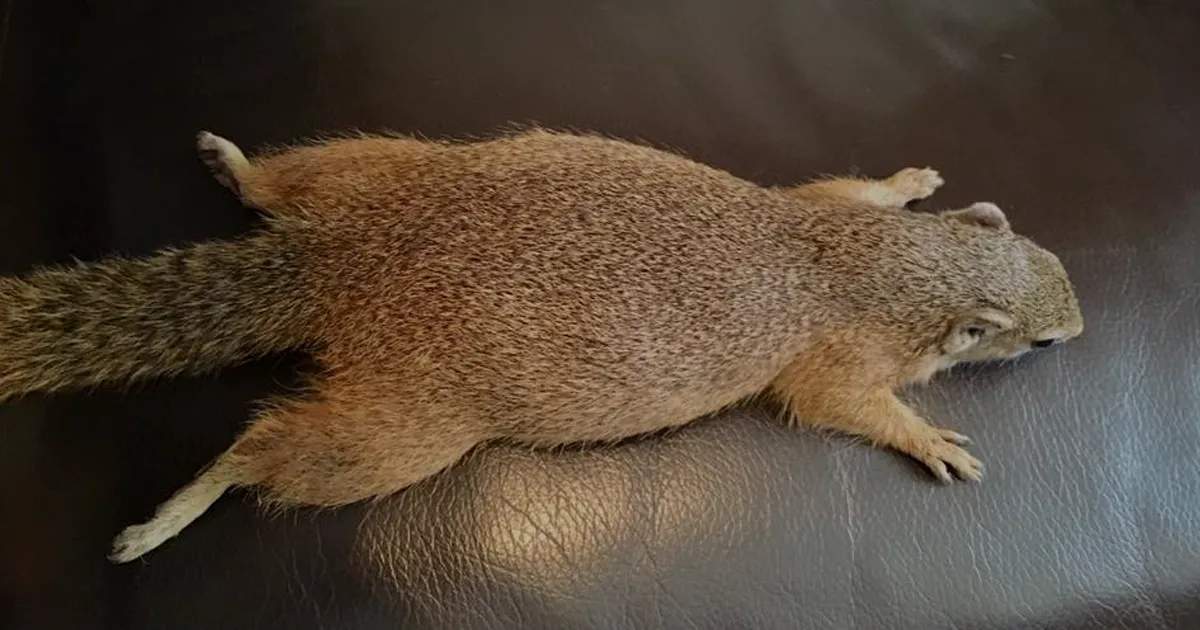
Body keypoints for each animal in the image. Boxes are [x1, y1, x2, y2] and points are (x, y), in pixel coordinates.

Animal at [0, 129, 1083, 563]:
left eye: (1046, 251)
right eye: (1031, 342)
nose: (1077, 328)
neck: (893, 267)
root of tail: (336, 266)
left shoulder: (831, 211)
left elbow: (851, 184)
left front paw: (908, 178)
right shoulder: (841, 356)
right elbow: (846, 405)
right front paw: (931, 439)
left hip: (371, 170)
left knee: (291, 182)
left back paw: (240, 168)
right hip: (404, 427)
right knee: (265, 453)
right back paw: (175, 511)